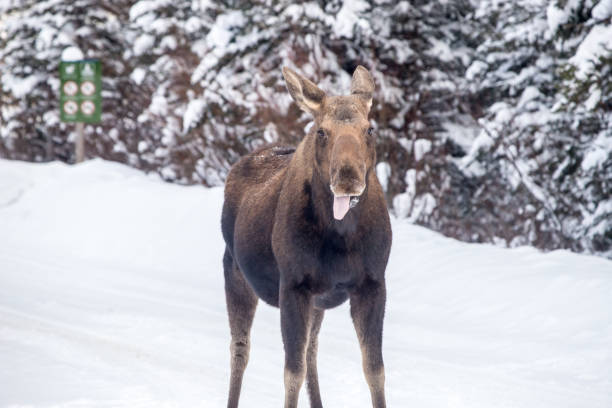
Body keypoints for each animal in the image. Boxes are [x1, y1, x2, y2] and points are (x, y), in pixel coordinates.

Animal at [220, 65, 392, 406]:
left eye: (369, 129)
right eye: (322, 131)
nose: (347, 177)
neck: (342, 236)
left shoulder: (372, 283)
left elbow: (375, 370)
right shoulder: (294, 285)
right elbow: (292, 373)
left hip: (319, 300)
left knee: (311, 350)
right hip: (235, 271)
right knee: (240, 349)